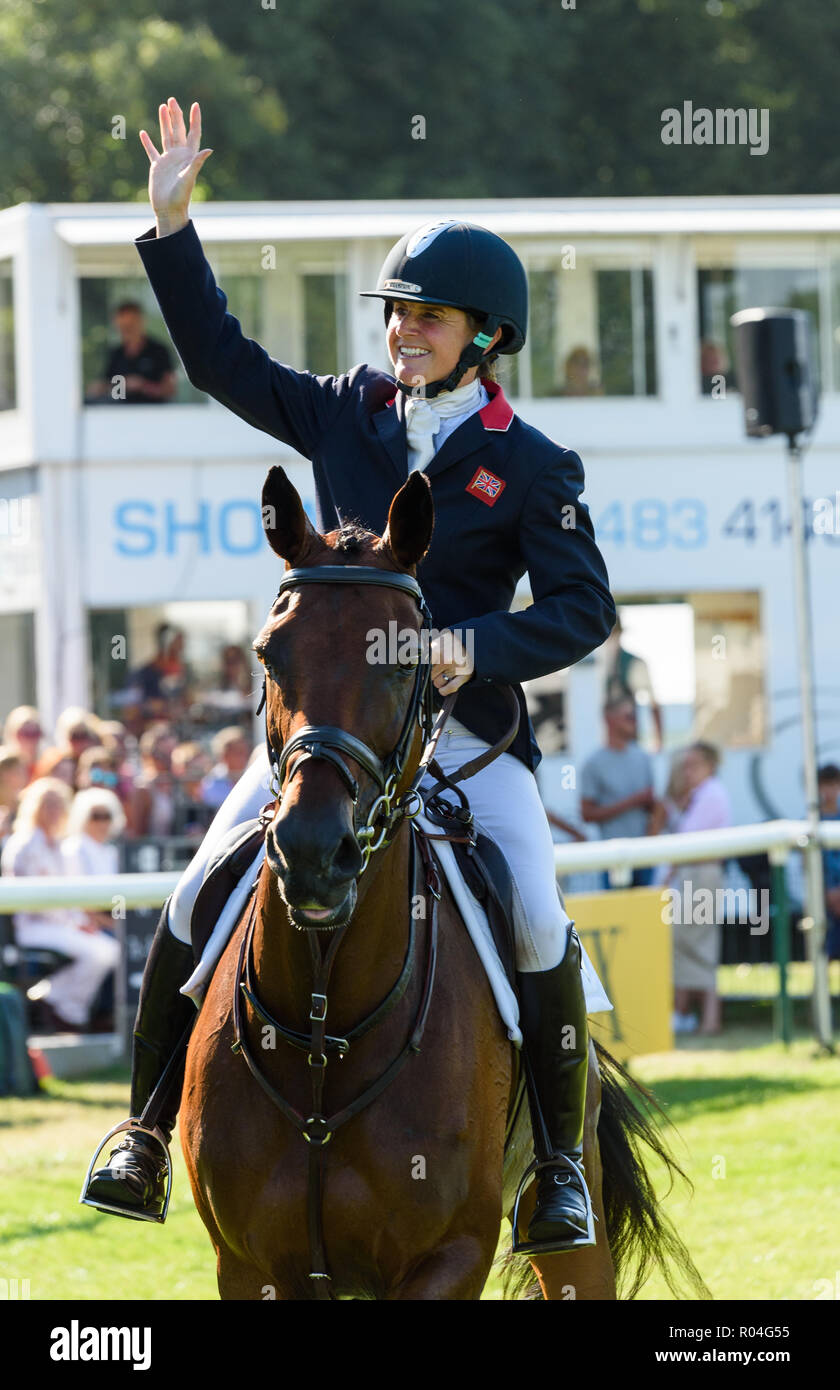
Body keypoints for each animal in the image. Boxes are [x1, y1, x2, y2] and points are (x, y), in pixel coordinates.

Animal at [180, 467, 706, 1301]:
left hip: (573, 1226)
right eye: (268, 654)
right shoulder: (250, 1267)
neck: (326, 1022)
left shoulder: (447, 1258)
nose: (311, 851)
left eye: (405, 661)